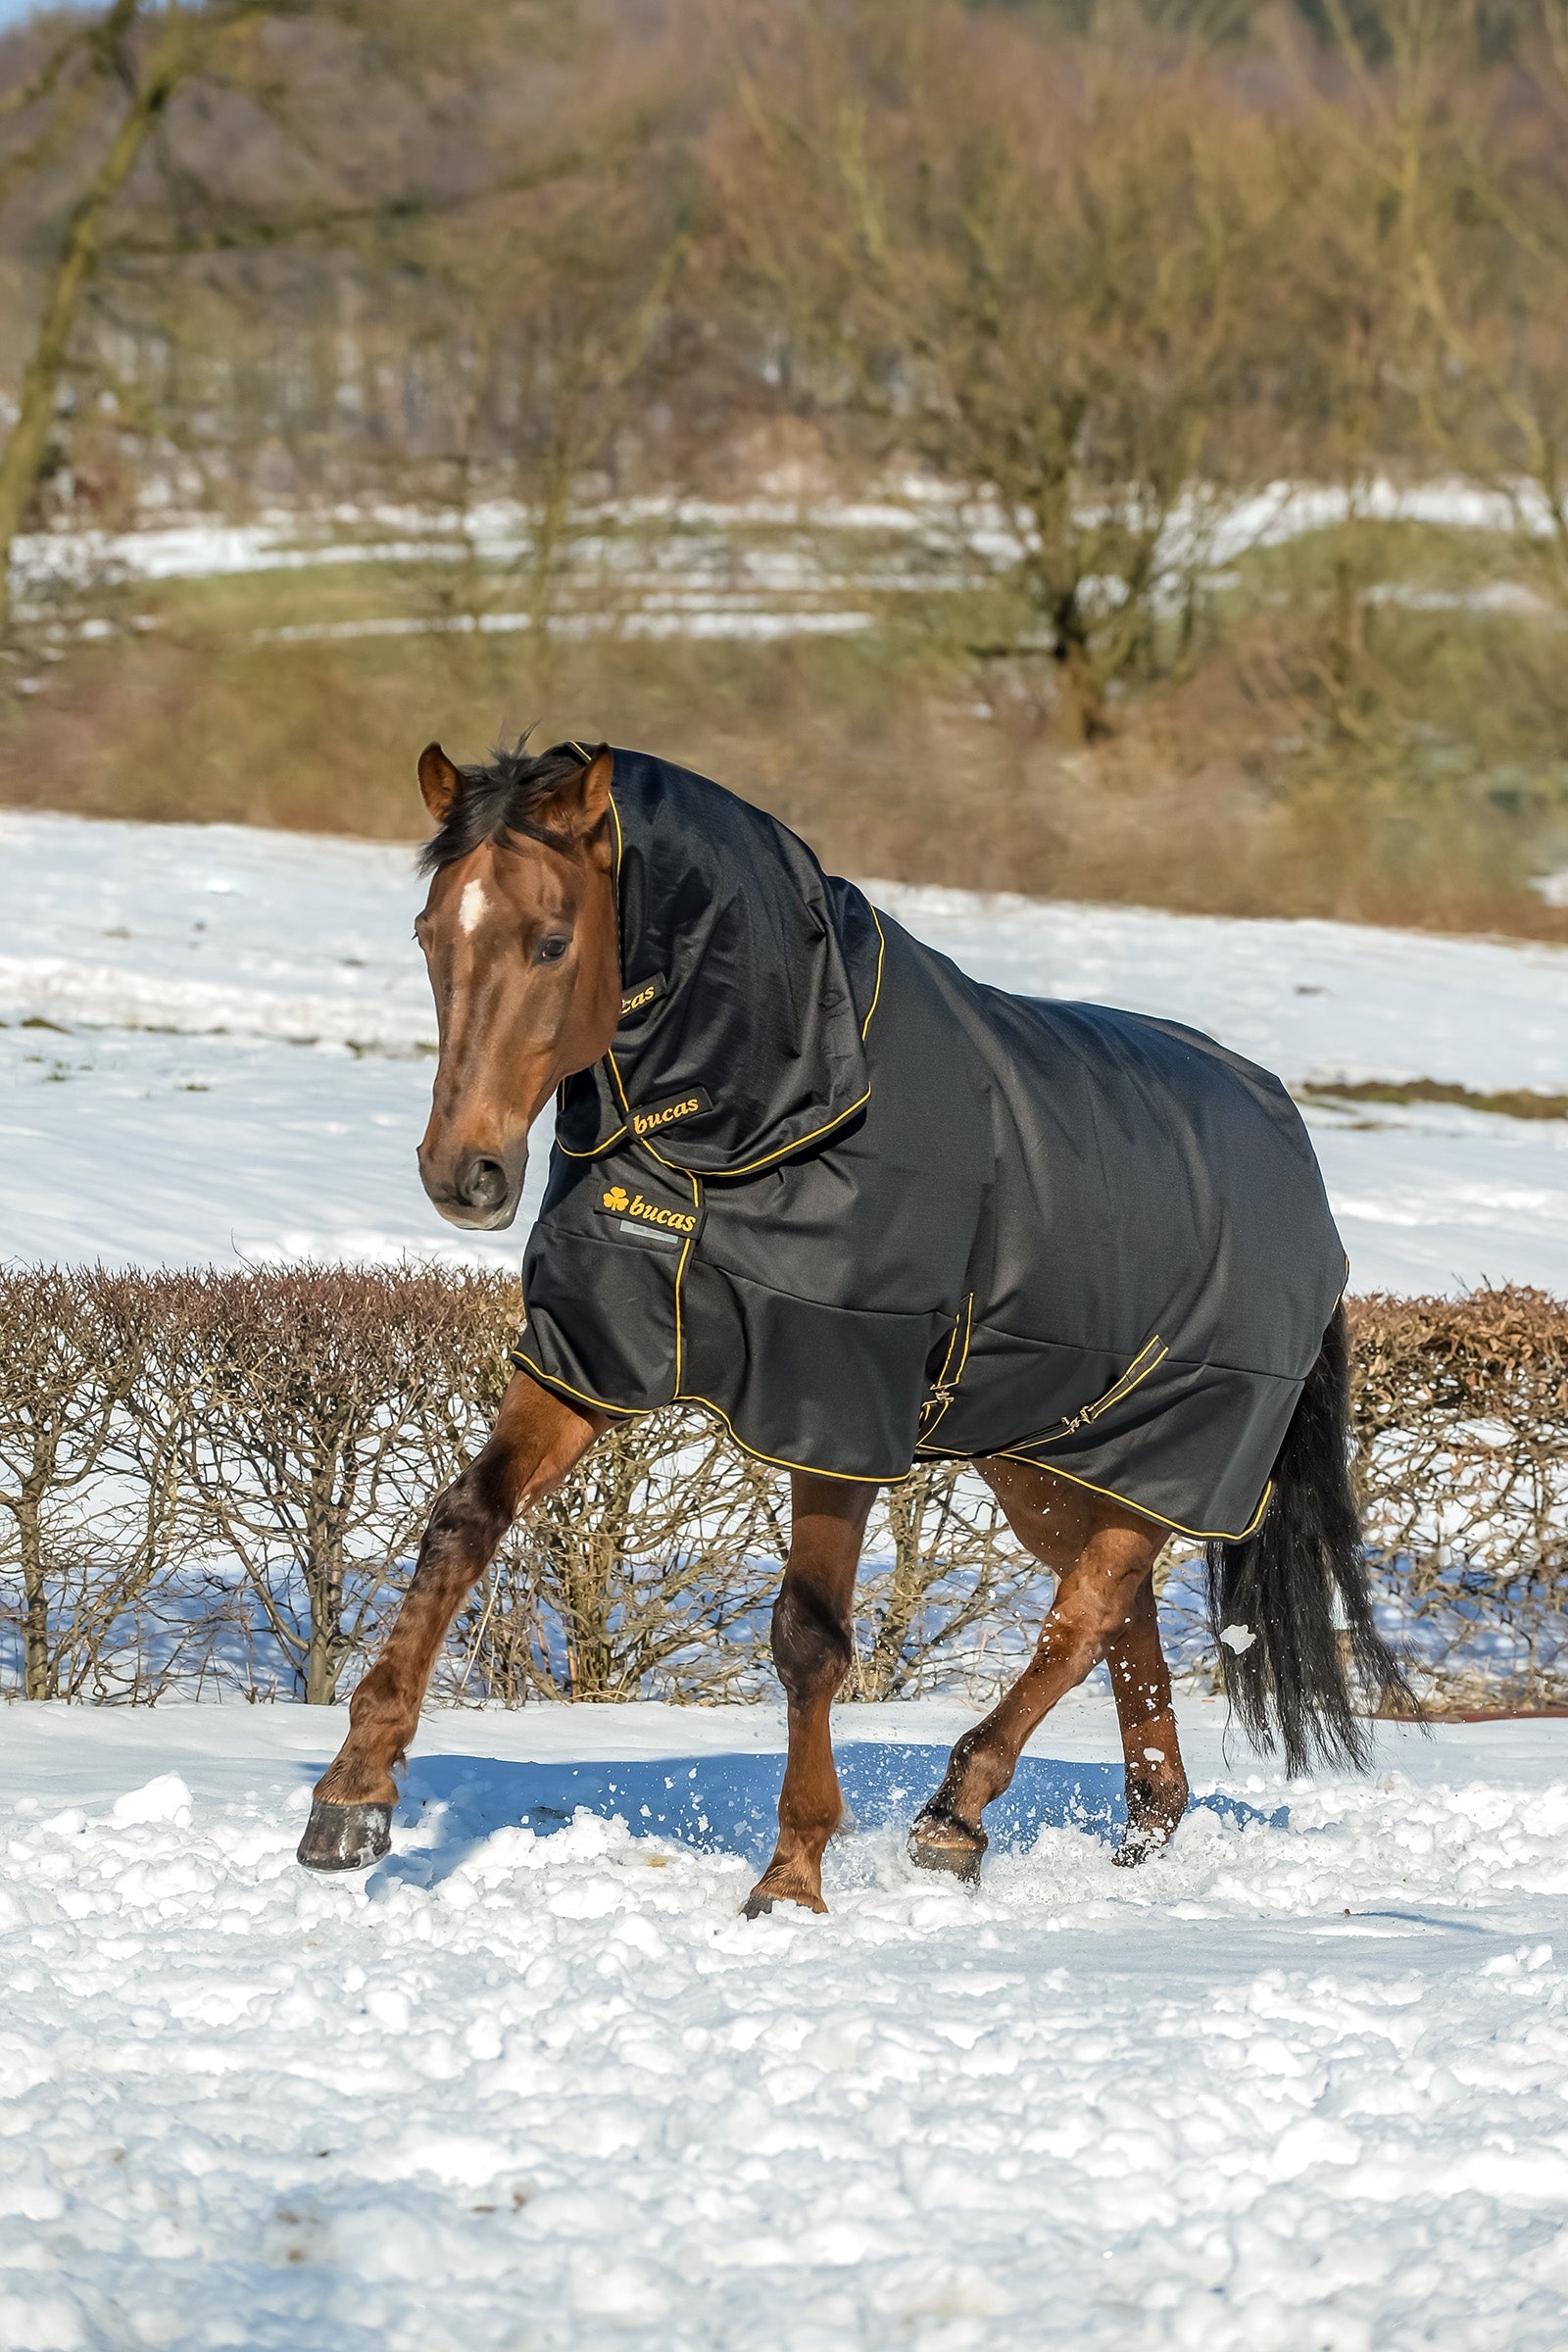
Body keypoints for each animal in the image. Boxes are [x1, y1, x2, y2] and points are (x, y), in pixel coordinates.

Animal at [297, 737, 1404, 1911]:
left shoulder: (833, 1403)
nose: (463, 1174)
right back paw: (1134, 1817)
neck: (751, 1117)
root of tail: (1301, 1171)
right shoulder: (590, 1356)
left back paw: (955, 1813)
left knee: (1087, 1613)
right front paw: (351, 1801)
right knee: (1116, 1612)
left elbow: (809, 1638)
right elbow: (464, 1521)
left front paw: (791, 1878)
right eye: (429, 933)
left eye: (552, 940)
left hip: (1175, 1447)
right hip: (1050, 1460)